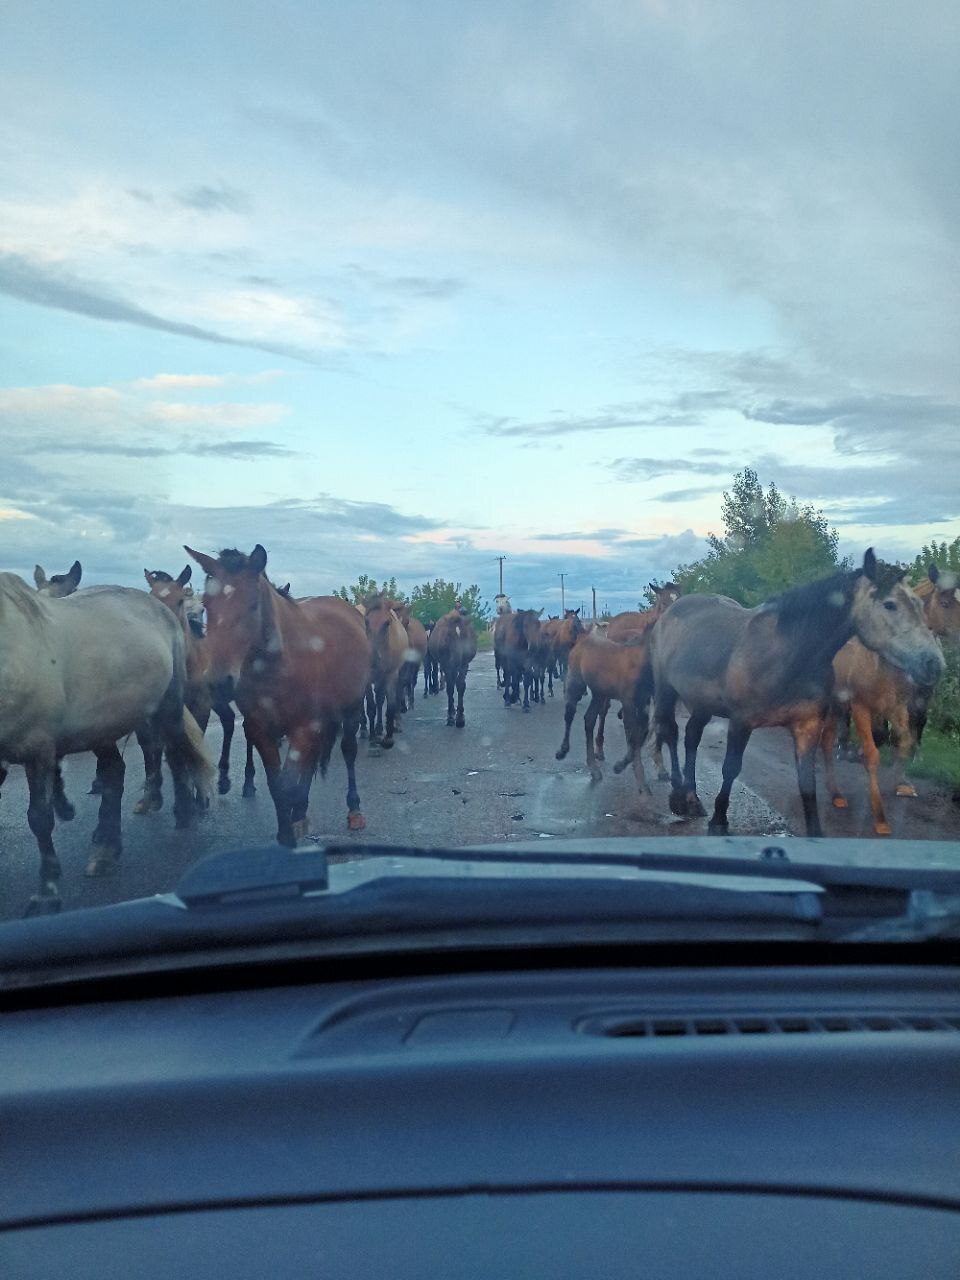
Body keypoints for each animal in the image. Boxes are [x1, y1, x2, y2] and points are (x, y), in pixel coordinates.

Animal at [0, 576, 212, 916]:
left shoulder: (37, 749)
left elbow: (39, 818)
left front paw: (47, 893)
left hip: (167, 706)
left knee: (174, 753)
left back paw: (182, 813)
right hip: (100, 727)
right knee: (114, 773)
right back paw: (107, 850)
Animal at [140, 563, 257, 793]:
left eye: (179, 601)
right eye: (151, 598)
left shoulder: (201, 706)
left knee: (249, 729)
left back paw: (248, 781)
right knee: (229, 721)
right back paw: (224, 777)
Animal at [185, 545, 371, 844]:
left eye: (252, 605)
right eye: (206, 606)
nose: (219, 682)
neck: (276, 665)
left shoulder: (303, 726)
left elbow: (289, 783)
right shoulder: (260, 728)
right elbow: (277, 784)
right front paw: (286, 831)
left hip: (352, 708)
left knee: (348, 751)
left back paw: (353, 809)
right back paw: (301, 813)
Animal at [655, 550, 947, 839]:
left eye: (919, 605)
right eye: (890, 605)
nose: (934, 664)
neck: (790, 653)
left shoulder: (808, 726)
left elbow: (807, 782)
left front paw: (815, 830)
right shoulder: (741, 721)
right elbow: (731, 768)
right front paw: (719, 821)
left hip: (702, 704)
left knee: (692, 737)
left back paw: (692, 799)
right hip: (666, 692)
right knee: (670, 732)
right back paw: (678, 795)